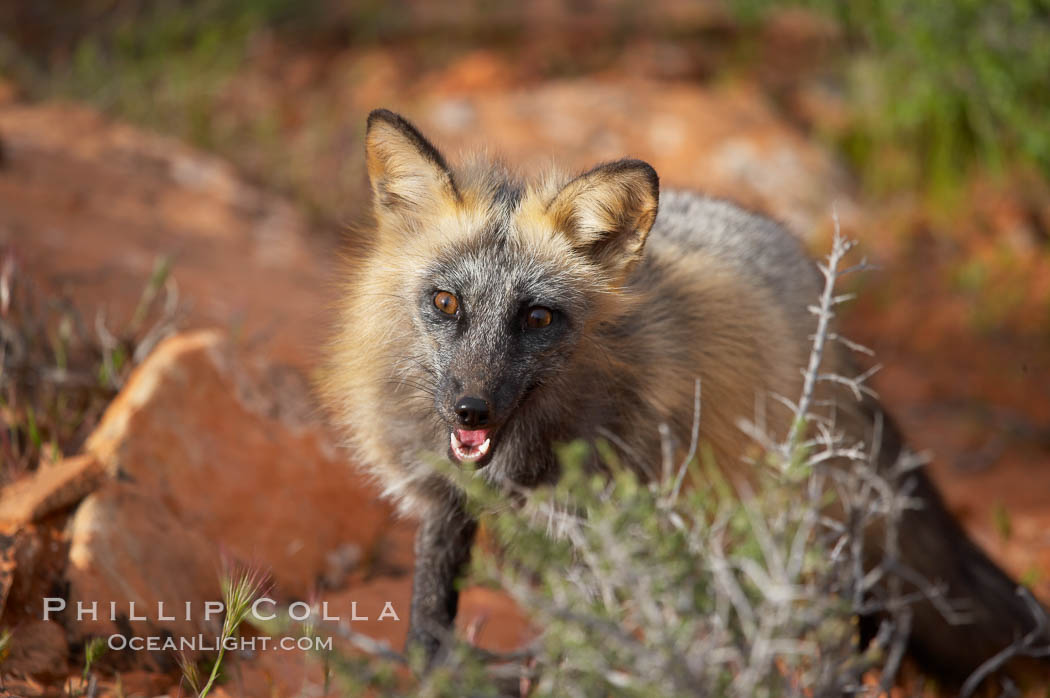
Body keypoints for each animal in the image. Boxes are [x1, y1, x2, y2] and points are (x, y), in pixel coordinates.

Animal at [321, 109, 1050, 684]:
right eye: (446, 303)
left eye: (536, 317)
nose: (471, 410)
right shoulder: (444, 498)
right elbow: (427, 619)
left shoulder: (597, 529)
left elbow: (576, 646)